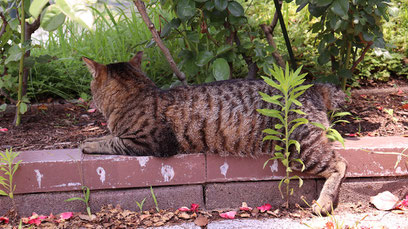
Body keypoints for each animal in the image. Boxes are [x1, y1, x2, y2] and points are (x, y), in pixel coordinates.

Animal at [82, 52, 348, 215]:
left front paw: (89, 143)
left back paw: (324, 203)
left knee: (339, 164)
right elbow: (108, 138)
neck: (137, 93)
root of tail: (312, 87)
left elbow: (112, 142)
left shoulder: (149, 142)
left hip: (299, 147)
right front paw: (92, 138)